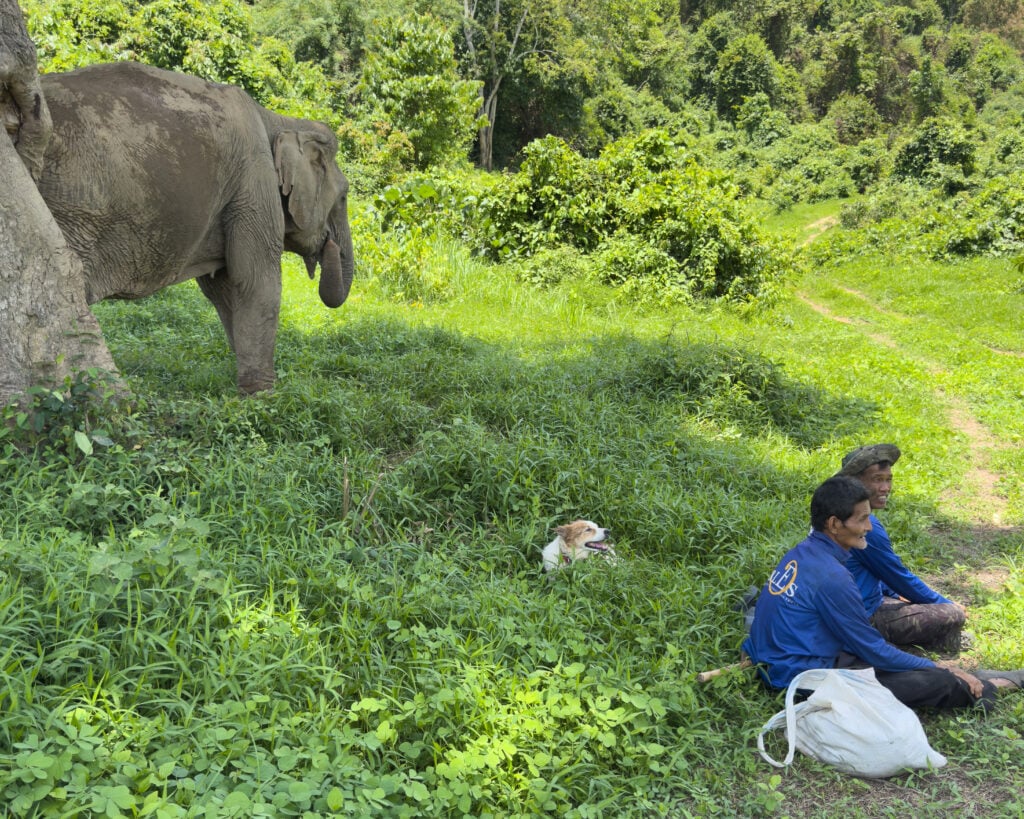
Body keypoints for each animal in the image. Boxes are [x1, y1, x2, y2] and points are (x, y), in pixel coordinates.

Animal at [34, 61, 354, 393]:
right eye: (344, 196)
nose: (329, 243)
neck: (277, 119)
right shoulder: (254, 182)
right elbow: (254, 279)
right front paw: (263, 394)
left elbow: (224, 288)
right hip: (72, 211)